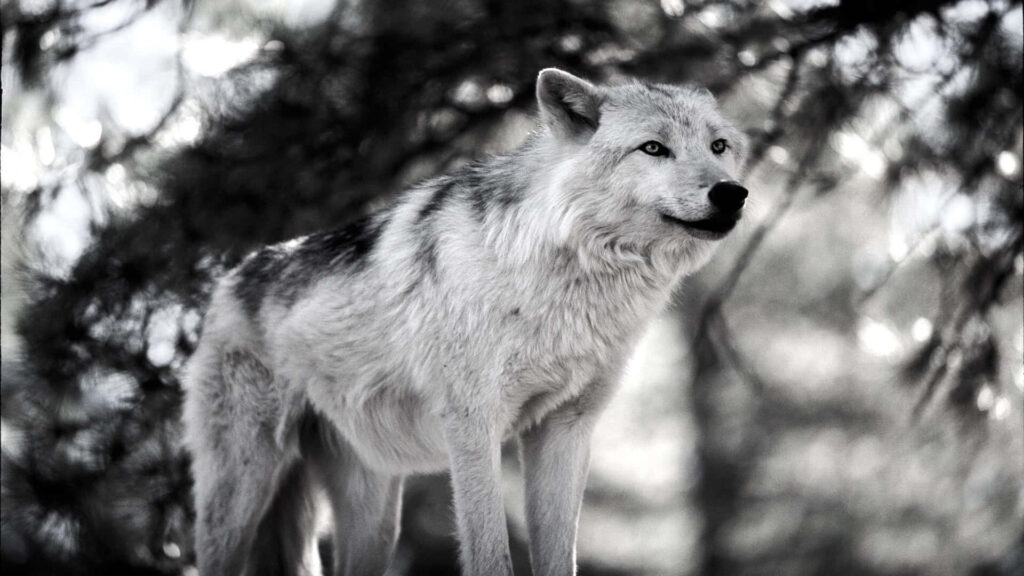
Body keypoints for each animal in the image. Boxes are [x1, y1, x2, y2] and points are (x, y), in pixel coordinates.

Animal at [183, 68, 748, 576]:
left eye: (718, 146)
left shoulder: (565, 430)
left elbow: (558, 558)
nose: (732, 193)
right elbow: (491, 554)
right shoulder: (474, 425)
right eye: (653, 148)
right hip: (241, 492)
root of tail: (230, 276)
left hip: (373, 517)